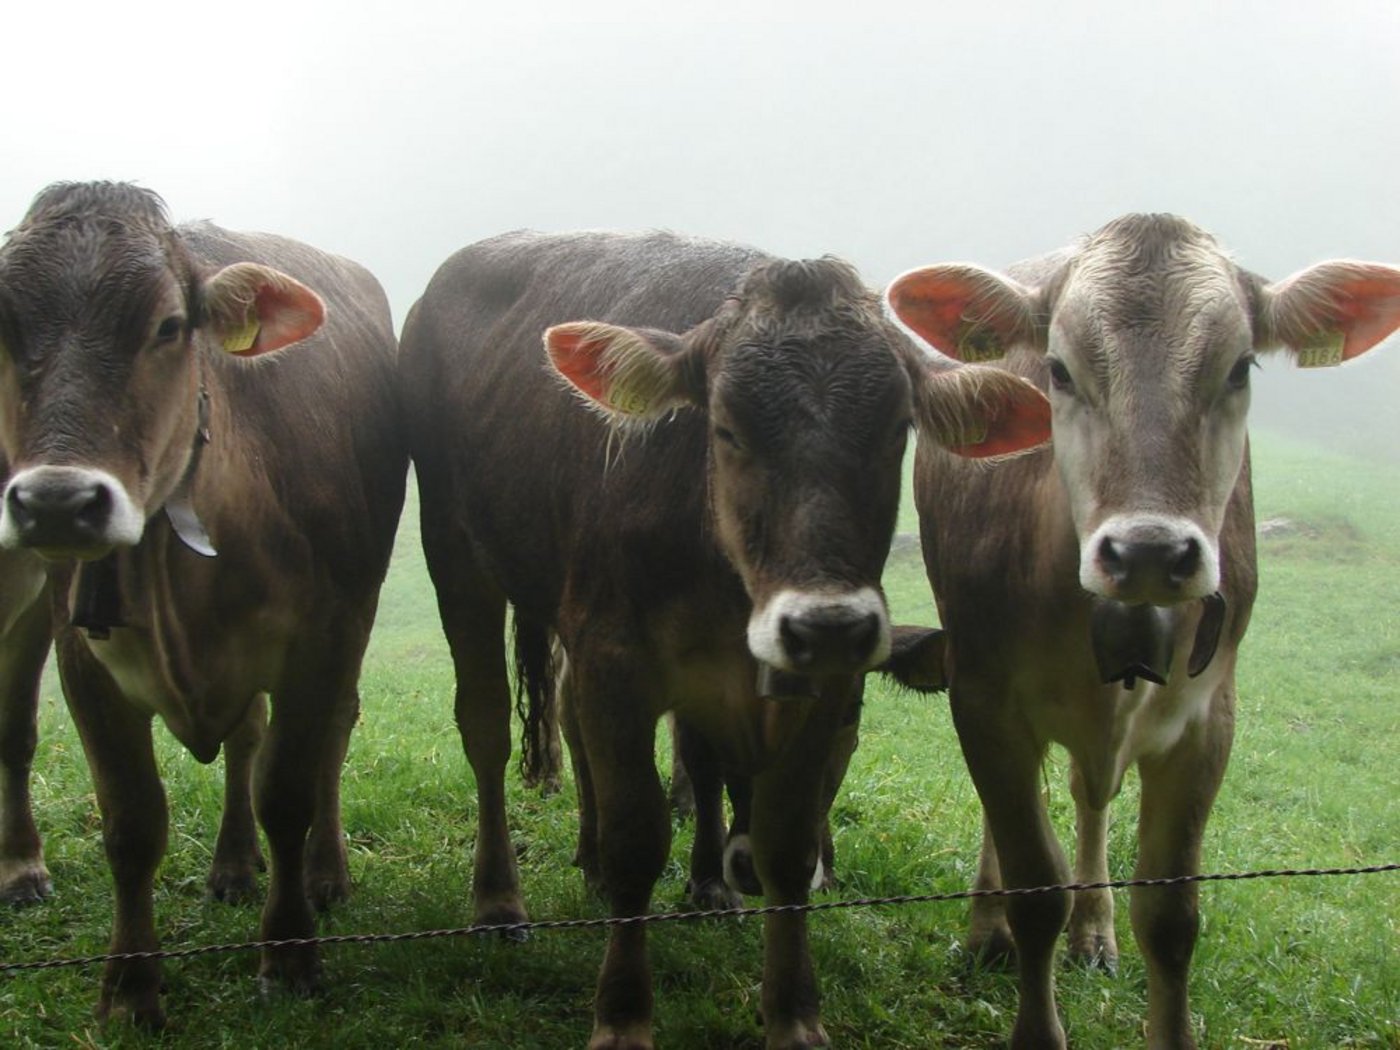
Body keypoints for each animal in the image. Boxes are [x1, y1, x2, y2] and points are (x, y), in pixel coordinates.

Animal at [0, 182, 407, 1026]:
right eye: (5, 325)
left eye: (167, 325)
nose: (57, 503)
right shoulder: (83, 659)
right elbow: (132, 823)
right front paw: (131, 987)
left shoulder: (321, 641)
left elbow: (287, 791)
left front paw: (289, 954)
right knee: (243, 737)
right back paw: (231, 864)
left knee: (330, 739)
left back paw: (324, 873)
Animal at [398, 228, 1050, 1049]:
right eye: (727, 428)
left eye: (894, 431)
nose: (826, 622)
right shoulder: (614, 662)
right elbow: (638, 838)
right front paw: (622, 1013)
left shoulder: (820, 683)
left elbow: (785, 844)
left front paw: (793, 1012)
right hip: (454, 552)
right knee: (485, 729)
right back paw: (498, 903)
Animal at [885, 213, 1400, 1049]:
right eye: (1058, 370)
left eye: (1240, 368)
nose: (1151, 550)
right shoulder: (985, 699)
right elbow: (1035, 884)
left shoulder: (1207, 721)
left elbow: (1170, 915)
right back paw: (987, 931)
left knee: (1089, 796)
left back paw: (1095, 930)